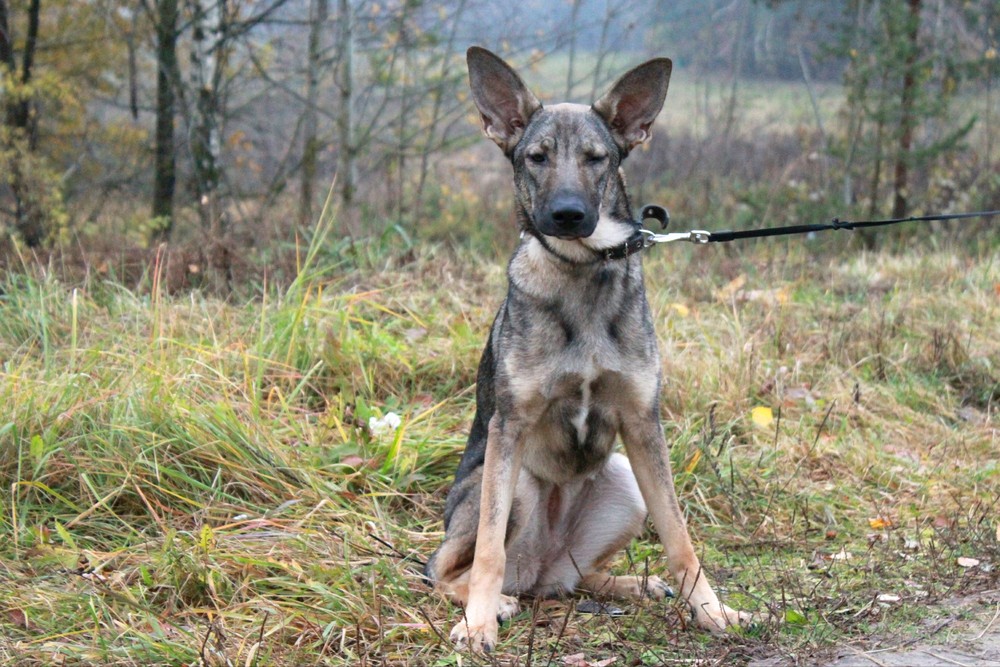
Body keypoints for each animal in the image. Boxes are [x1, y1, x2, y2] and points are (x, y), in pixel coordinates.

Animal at [426, 47, 748, 652]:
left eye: (597, 159)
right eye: (537, 157)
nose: (569, 215)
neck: (581, 270)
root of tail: (539, 571)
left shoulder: (643, 426)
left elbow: (680, 539)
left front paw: (712, 610)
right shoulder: (509, 428)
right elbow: (488, 551)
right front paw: (477, 623)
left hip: (624, 481)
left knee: (577, 576)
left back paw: (630, 584)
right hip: (516, 488)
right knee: (449, 570)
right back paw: (495, 602)